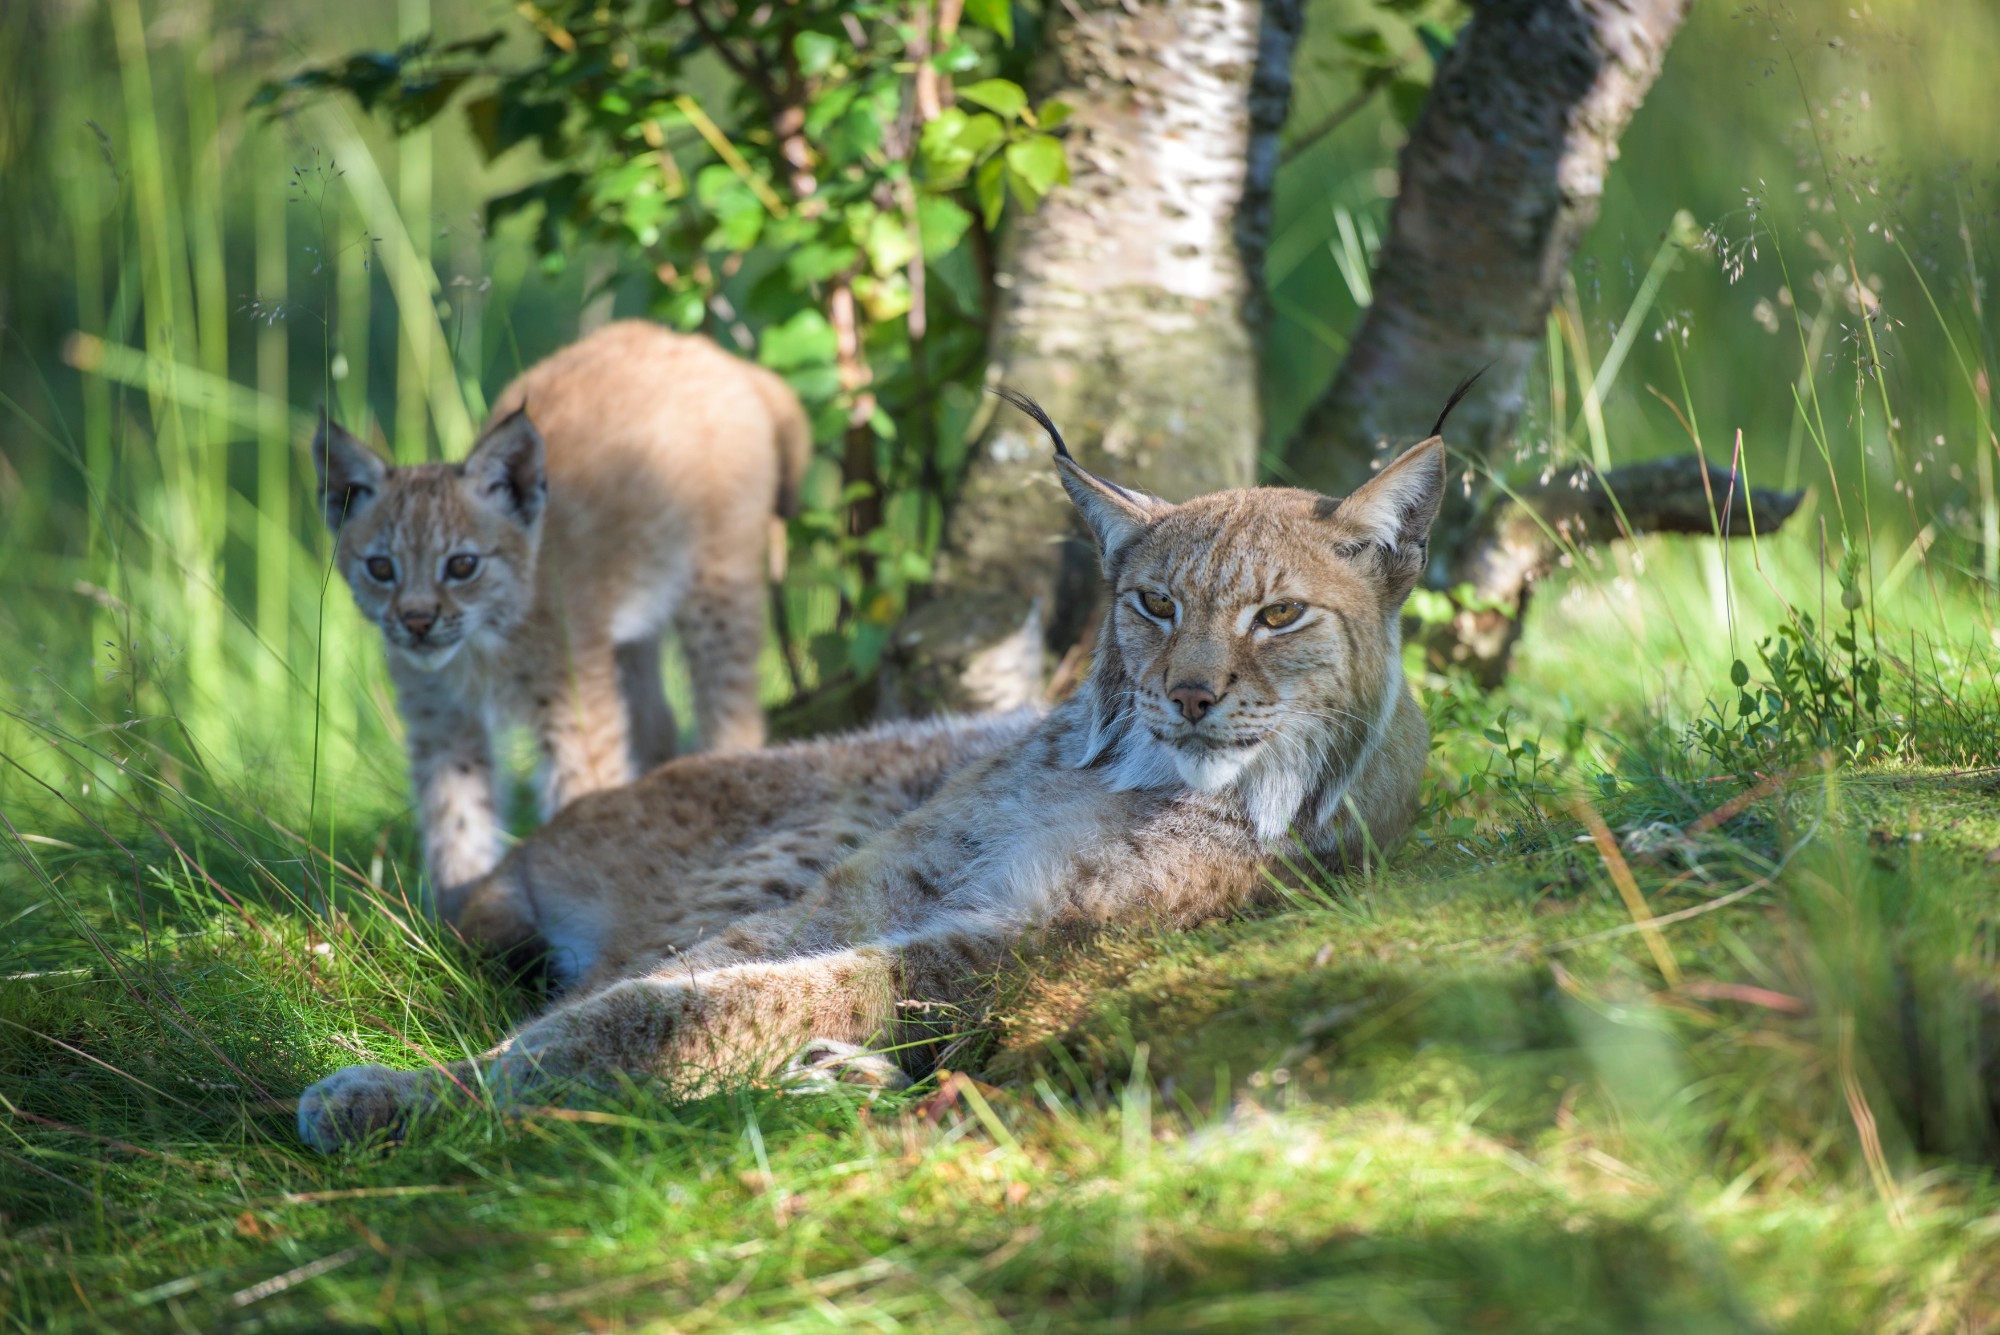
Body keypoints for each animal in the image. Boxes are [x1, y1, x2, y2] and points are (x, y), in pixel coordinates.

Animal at [300, 391, 1456, 1151]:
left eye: (1279, 615)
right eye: (1154, 605)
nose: (1189, 695)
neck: (1126, 774)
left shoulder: (1023, 939)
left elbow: (700, 1003)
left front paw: (434, 1094)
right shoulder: (880, 881)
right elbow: (670, 985)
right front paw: (451, 1079)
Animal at [316, 323, 808, 903]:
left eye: (461, 565)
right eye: (380, 568)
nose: (416, 622)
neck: (481, 646)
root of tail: (703, 348)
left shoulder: (574, 714)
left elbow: (579, 800)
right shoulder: (441, 717)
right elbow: (454, 815)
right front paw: (457, 908)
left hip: (716, 586)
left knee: (733, 711)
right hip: (626, 626)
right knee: (656, 719)